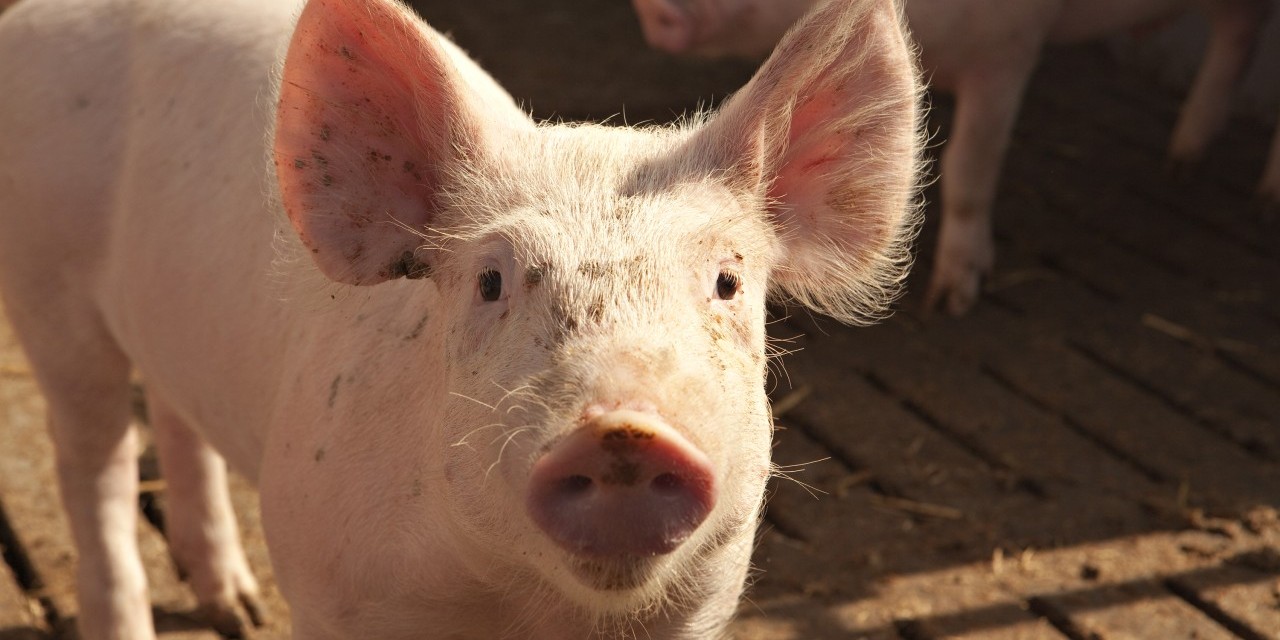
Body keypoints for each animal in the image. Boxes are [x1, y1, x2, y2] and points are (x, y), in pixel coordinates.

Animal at [0, 0, 926, 634]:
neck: (523, 611)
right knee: (94, 468)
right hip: (49, 289)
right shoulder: (326, 579)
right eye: (490, 281)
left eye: (728, 282)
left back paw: (238, 608)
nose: (622, 431)